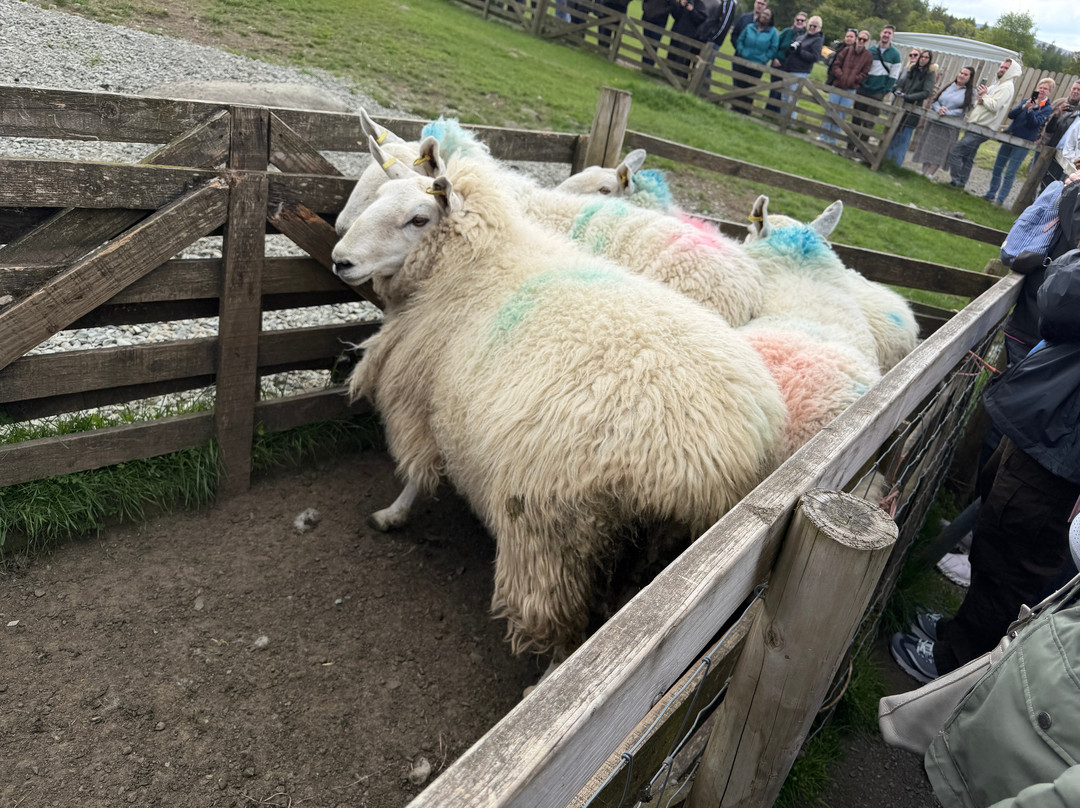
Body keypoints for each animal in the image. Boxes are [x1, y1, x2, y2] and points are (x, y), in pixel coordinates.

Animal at [331, 141, 788, 655]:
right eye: (378, 196)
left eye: (418, 218)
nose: (340, 258)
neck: (476, 264)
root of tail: (710, 462)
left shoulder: (420, 396)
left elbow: (415, 471)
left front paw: (393, 513)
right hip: (649, 546)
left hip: (555, 533)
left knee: (560, 626)